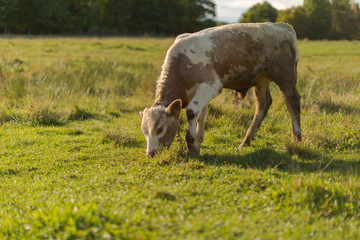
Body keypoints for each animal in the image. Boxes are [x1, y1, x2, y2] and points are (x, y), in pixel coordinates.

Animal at [141, 22, 300, 158]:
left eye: (159, 129)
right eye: (144, 131)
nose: (150, 154)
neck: (181, 64)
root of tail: (281, 26)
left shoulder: (211, 86)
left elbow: (192, 111)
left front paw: (191, 146)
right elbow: (201, 114)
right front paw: (198, 141)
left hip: (284, 75)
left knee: (292, 101)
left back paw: (297, 138)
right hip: (261, 79)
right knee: (263, 104)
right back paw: (246, 141)